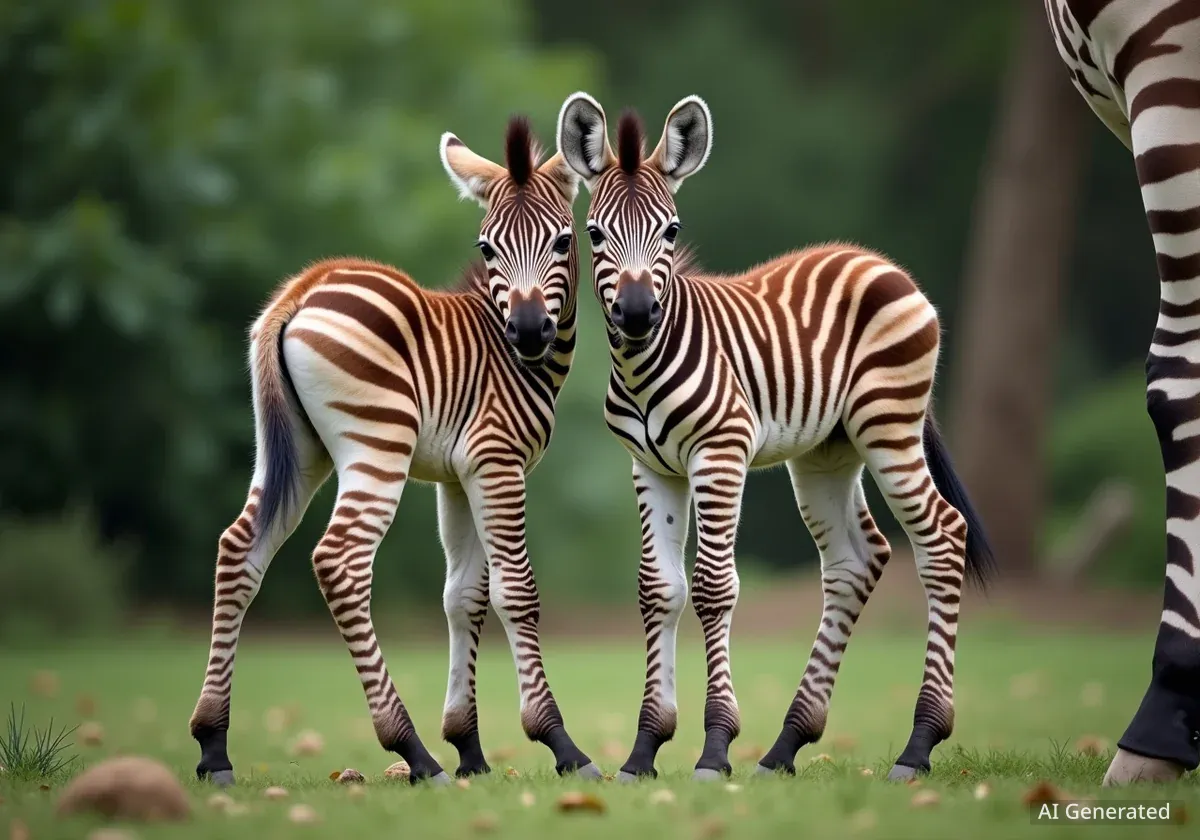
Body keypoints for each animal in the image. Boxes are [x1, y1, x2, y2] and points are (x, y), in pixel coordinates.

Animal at [188, 115, 602, 786]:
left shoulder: (458, 477)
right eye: (487, 248)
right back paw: (412, 750)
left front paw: (470, 750)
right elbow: (516, 592)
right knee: (339, 562)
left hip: (295, 451)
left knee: (239, 549)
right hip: (377, 443)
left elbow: (464, 597)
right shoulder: (498, 462)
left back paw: (213, 745)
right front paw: (559, 744)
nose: (527, 331)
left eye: (565, 242)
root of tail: (303, 290)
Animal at [555, 92, 995, 782]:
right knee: (855, 561)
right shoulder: (651, 467)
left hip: (889, 426)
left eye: (672, 231)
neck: (645, 364)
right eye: (594, 234)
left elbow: (713, 586)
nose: (636, 313)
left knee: (943, 536)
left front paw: (714, 749)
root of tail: (879, 261)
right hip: (827, 454)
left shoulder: (720, 452)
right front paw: (644, 749)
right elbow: (659, 589)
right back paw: (787, 744)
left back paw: (919, 744)